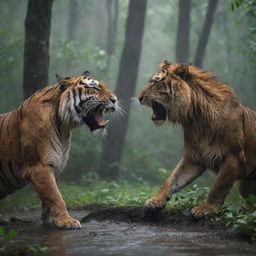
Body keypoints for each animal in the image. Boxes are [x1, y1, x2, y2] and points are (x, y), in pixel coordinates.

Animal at [0, 71, 118, 229]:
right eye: (94, 88)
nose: (115, 100)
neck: (63, 125)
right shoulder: (40, 166)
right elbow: (55, 195)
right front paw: (66, 221)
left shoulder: (56, 165)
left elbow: (49, 196)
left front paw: (50, 220)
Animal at [139, 60, 256, 218]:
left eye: (155, 82)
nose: (139, 97)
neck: (196, 118)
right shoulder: (194, 157)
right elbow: (172, 179)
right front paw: (156, 200)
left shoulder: (233, 157)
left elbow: (218, 187)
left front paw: (206, 208)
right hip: (246, 185)